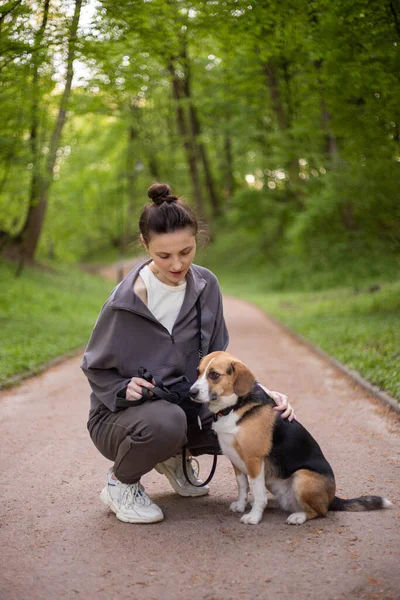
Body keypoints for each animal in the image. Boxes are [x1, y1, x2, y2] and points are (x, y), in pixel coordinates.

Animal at [188, 352, 390, 524]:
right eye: (198, 372)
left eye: (214, 375)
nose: (191, 392)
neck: (234, 407)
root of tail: (332, 498)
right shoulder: (235, 460)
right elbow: (243, 486)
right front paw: (240, 505)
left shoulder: (254, 460)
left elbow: (257, 492)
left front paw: (254, 517)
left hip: (301, 477)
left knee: (320, 512)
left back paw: (298, 517)